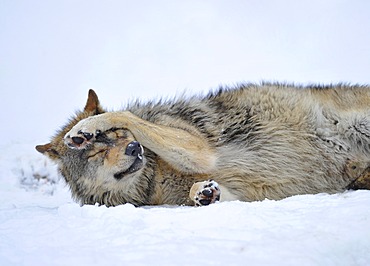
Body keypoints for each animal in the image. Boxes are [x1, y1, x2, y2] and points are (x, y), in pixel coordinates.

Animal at [35, 83, 370, 206]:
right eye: (99, 152)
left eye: (121, 136)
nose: (134, 149)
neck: (152, 175)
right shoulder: (236, 195)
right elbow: (209, 194)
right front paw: (203, 193)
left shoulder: (199, 150)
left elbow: (126, 115)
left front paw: (83, 129)